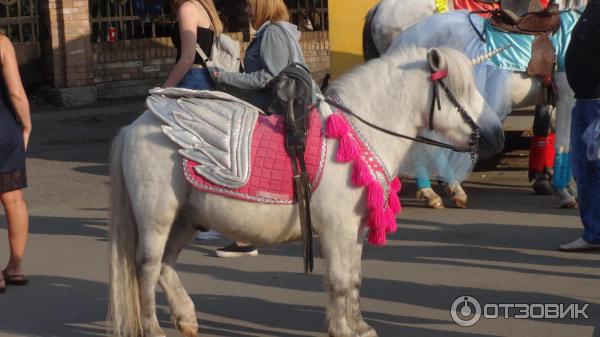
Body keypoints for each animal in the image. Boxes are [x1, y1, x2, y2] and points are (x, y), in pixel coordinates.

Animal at [109, 46, 506, 336]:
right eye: (461, 90)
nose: (498, 136)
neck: (355, 135)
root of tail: (133, 128)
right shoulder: (338, 230)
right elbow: (341, 282)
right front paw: (344, 330)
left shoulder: (352, 232)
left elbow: (352, 279)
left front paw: (357, 326)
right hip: (157, 219)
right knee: (147, 268)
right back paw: (155, 329)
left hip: (186, 219)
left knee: (165, 265)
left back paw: (187, 318)